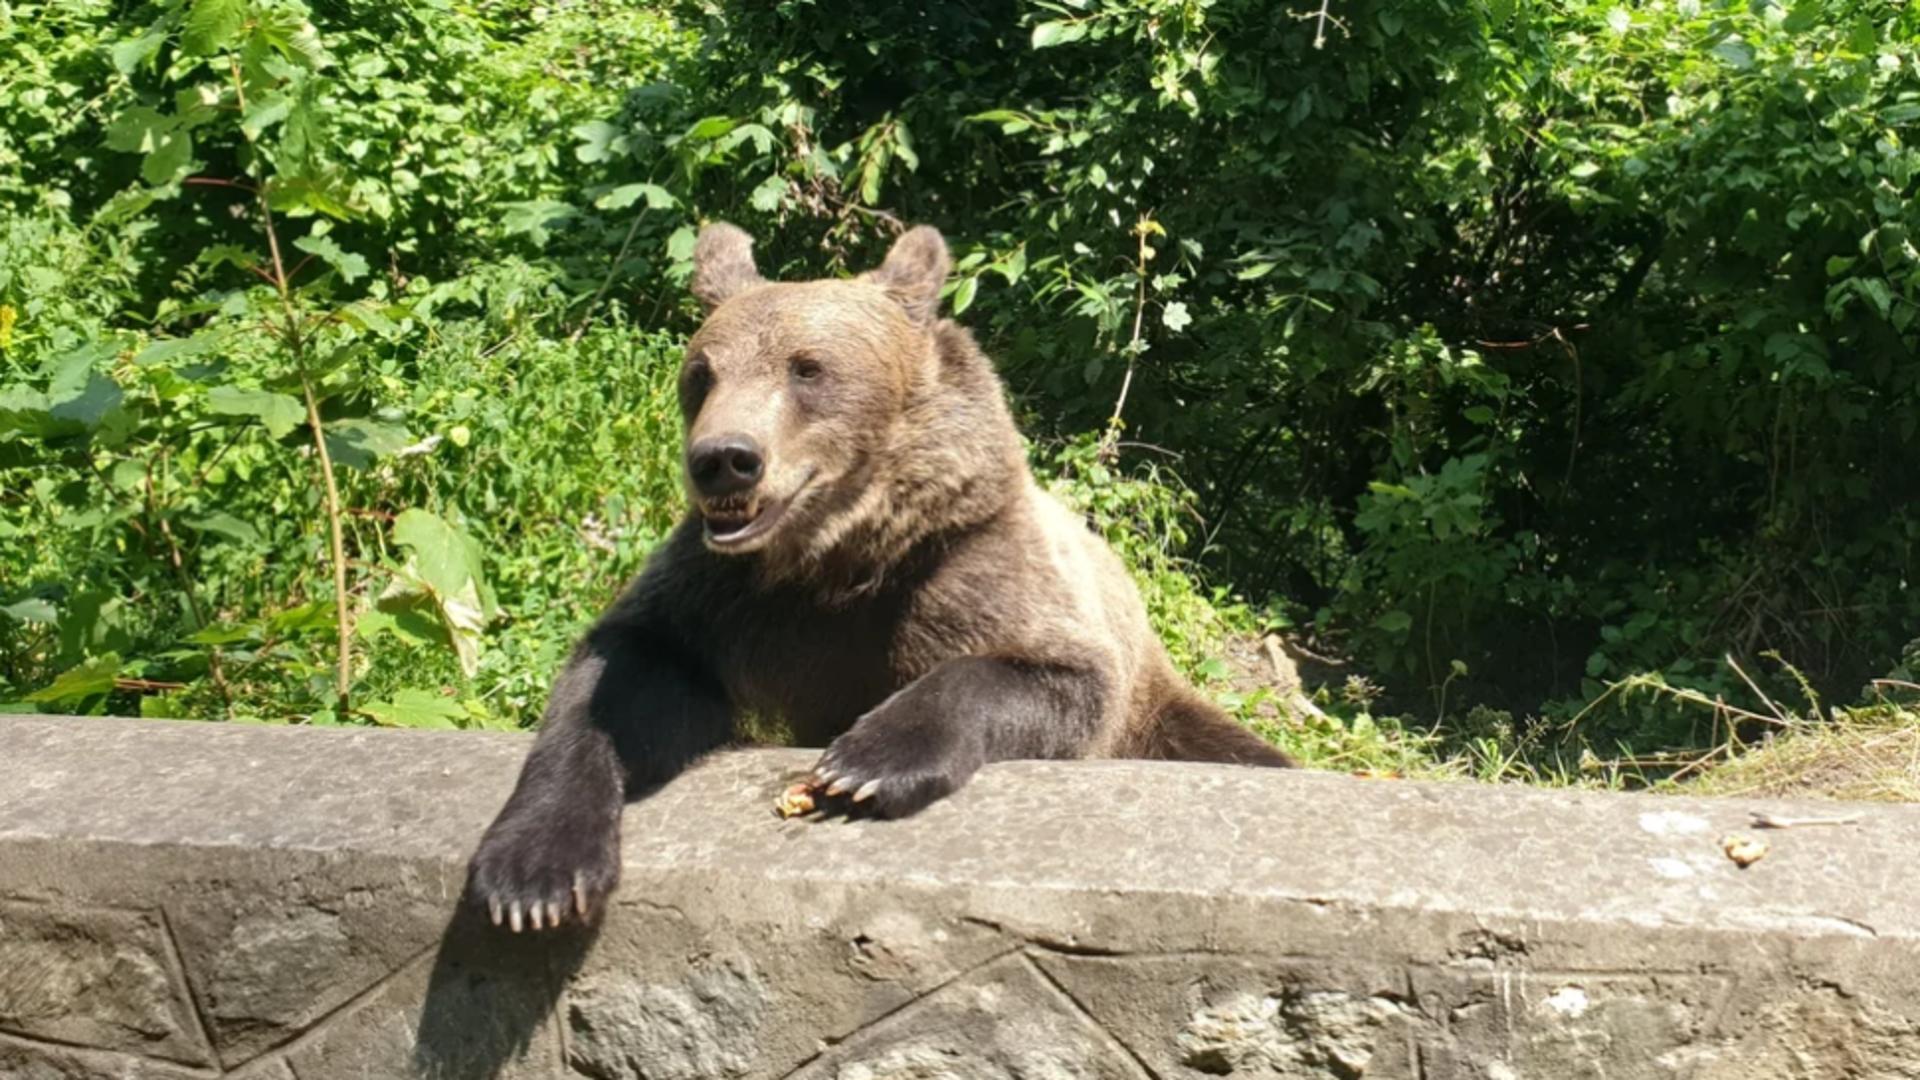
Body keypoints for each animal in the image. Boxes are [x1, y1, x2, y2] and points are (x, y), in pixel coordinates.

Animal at [462, 219, 1290, 926]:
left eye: (808, 368)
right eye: (702, 372)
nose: (723, 459)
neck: (839, 555)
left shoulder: (966, 570)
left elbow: (1041, 672)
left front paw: (865, 763)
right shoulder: (723, 599)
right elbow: (621, 674)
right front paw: (534, 875)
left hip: (1162, 709)